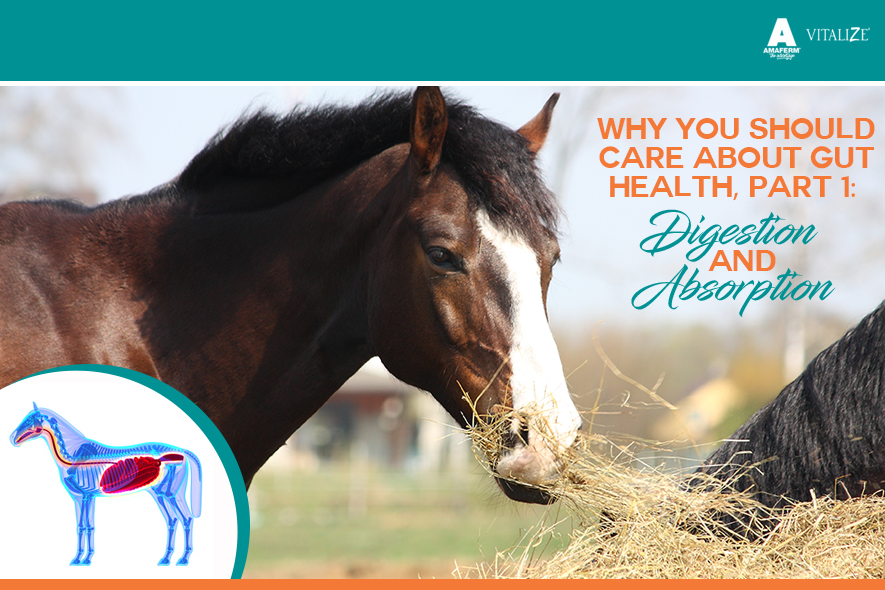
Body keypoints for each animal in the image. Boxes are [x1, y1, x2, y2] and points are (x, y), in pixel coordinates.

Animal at [9, 403, 202, 565]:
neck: (71, 456)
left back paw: (183, 559)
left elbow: (83, 526)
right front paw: (84, 558)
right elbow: (87, 526)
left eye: (29, 420)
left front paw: (80, 560)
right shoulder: (83, 497)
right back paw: (166, 559)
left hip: (170, 493)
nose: (12, 438)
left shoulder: (85, 496)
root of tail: (181, 451)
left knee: (186, 518)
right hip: (159, 493)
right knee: (172, 520)